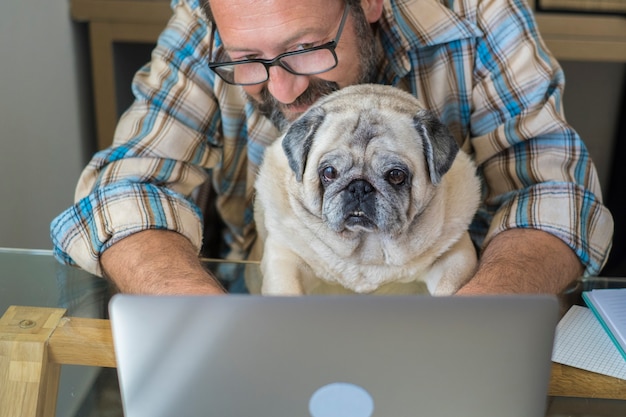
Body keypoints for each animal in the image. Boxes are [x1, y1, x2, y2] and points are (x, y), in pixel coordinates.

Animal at [247, 83, 478, 294]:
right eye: (329, 172)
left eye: (396, 175)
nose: (359, 187)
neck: (366, 251)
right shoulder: (285, 259)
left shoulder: (457, 257)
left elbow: (448, 285)